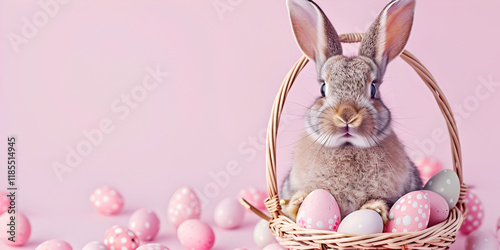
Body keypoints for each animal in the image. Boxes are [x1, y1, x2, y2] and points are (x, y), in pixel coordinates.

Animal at [280, 0, 424, 224]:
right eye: (323, 88)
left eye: (373, 89)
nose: (346, 116)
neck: (348, 147)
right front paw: (299, 202)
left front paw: (375, 209)